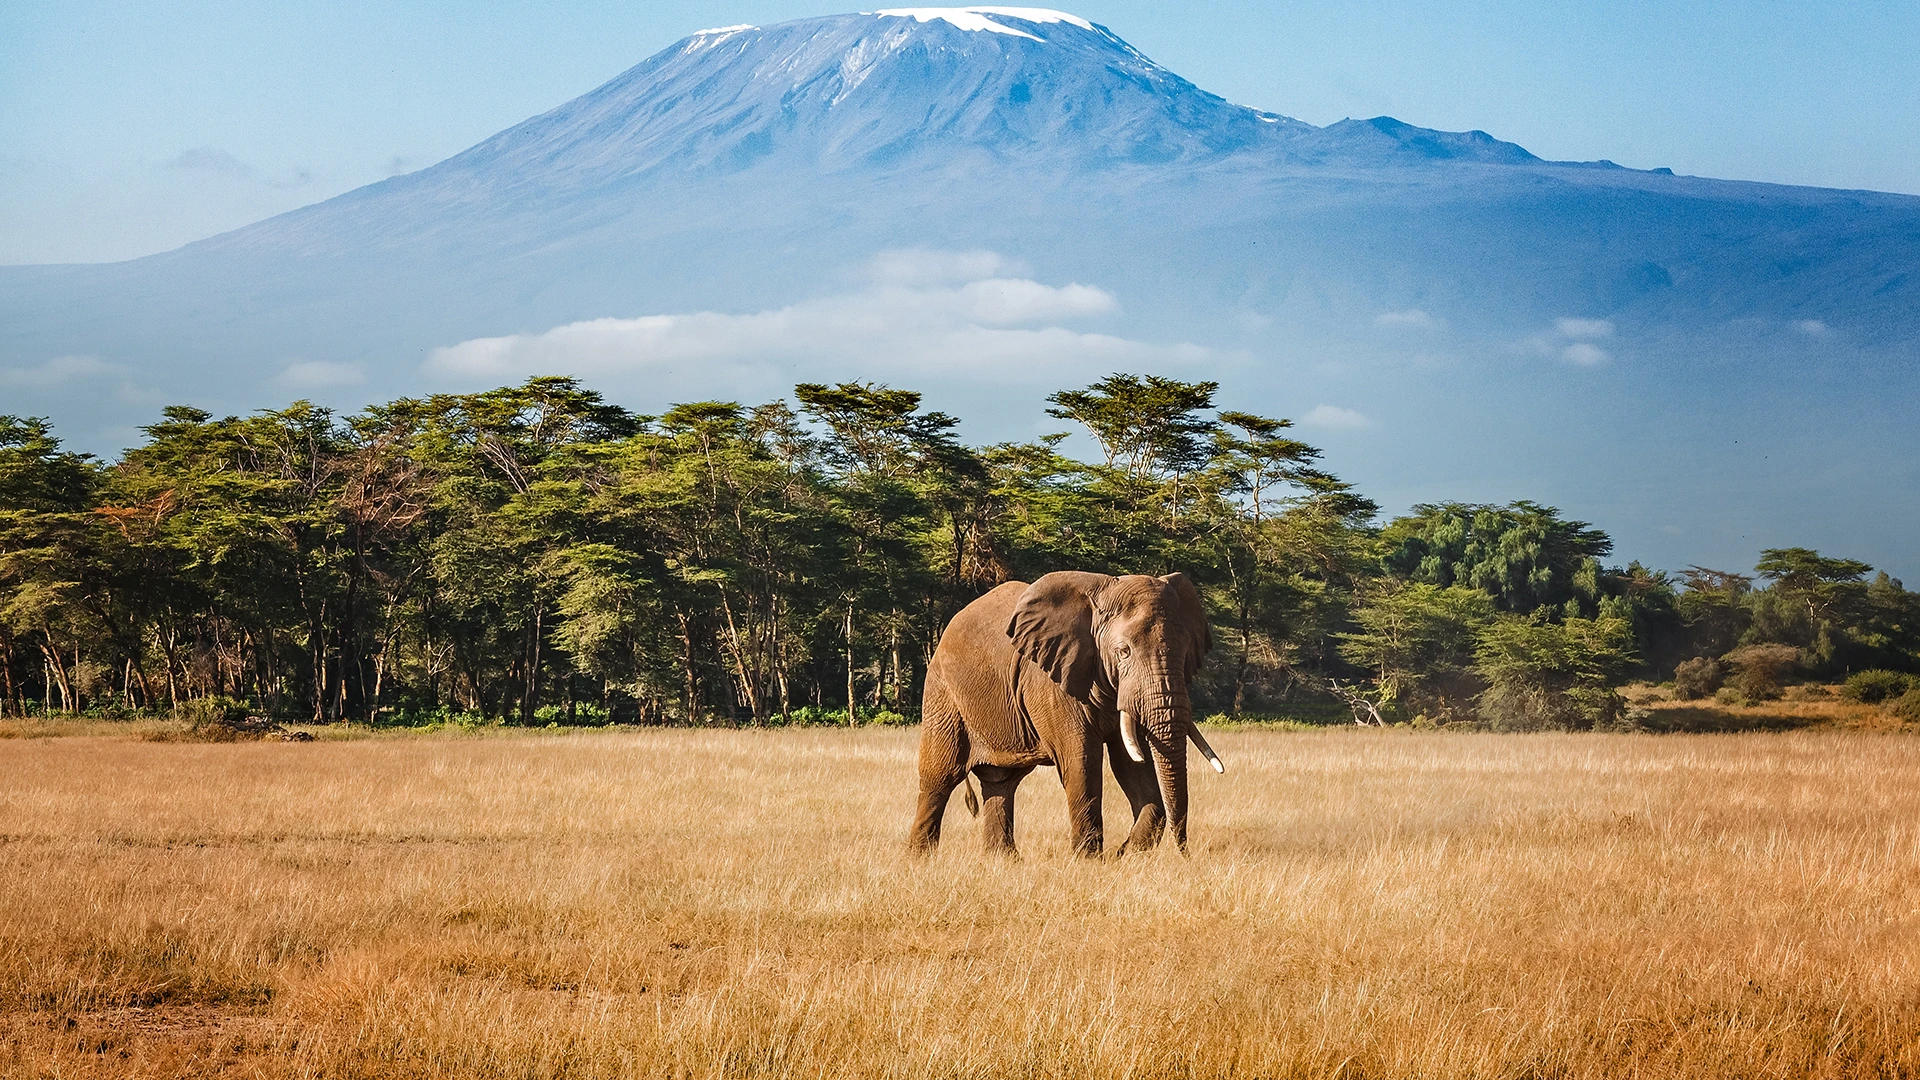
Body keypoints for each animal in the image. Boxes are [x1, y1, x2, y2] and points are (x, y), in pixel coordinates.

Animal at [908, 571, 1223, 857]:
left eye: (1185, 652)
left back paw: (1002, 861)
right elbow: (1081, 759)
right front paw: (1089, 861)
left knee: (1001, 782)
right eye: (1123, 652)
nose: (1185, 853)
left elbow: (1130, 761)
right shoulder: (1052, 683)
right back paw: (920, 859)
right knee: (940, 776)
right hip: (943, 693)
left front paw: (1125, 854)